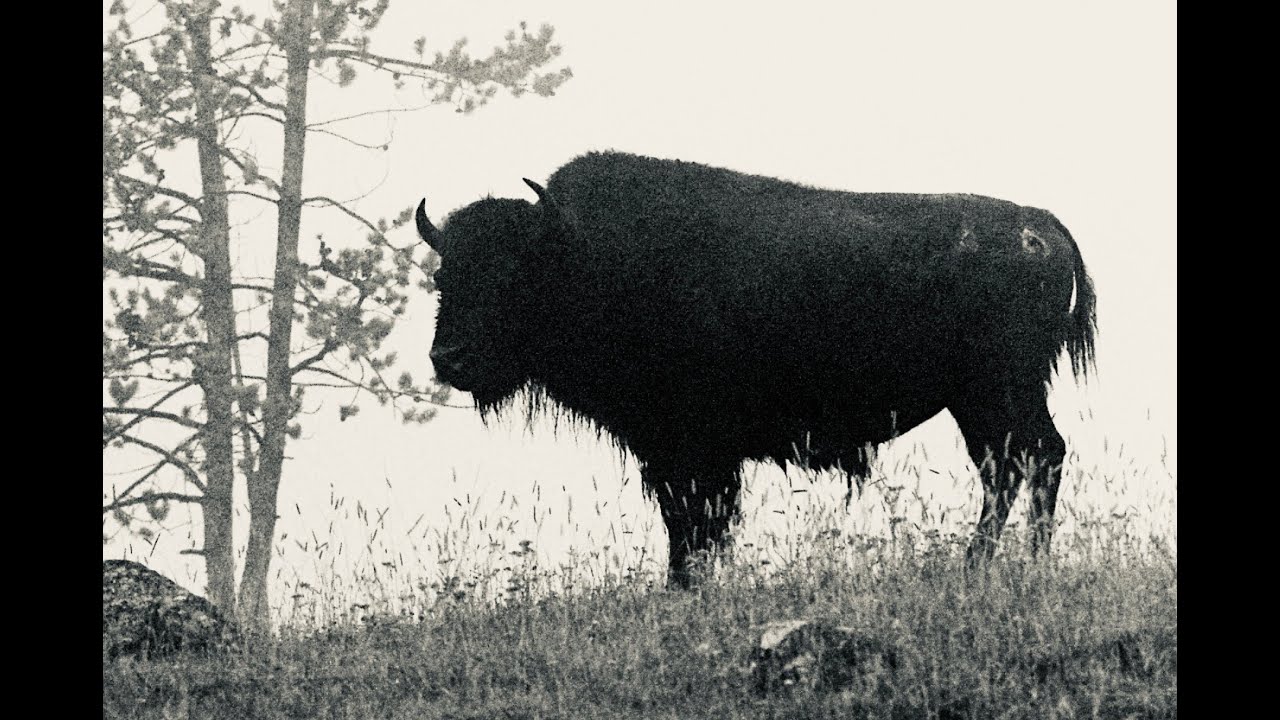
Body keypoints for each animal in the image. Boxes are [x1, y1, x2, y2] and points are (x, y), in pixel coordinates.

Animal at [416, 151, 1096, 587]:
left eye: (511, 275)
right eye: (443, 278)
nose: (449, 359)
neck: (579, 255)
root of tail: (1043, 226)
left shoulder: (696, 449)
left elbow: (698, 522)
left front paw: (685, 587)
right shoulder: (668, 452)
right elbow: (684, 522)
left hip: (999, 392)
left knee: (1035, 457)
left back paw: (1018, 566)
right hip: (978, 402)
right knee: (1009, 467)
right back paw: (985, 566)